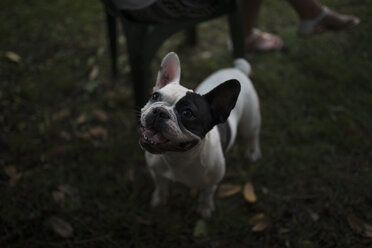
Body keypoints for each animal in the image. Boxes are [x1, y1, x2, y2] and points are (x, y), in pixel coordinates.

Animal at [140, 52, 262, 217]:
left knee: (252, 135)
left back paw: (253, 152)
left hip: (249, 121)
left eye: (188, 113)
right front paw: (159, 200)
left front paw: (205, 208)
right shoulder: (157, 173)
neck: (177, 158)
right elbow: (161, 187)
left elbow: (207, 194)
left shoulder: (212, 182)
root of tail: (238, 70)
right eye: (155, 96)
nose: (160, 111)